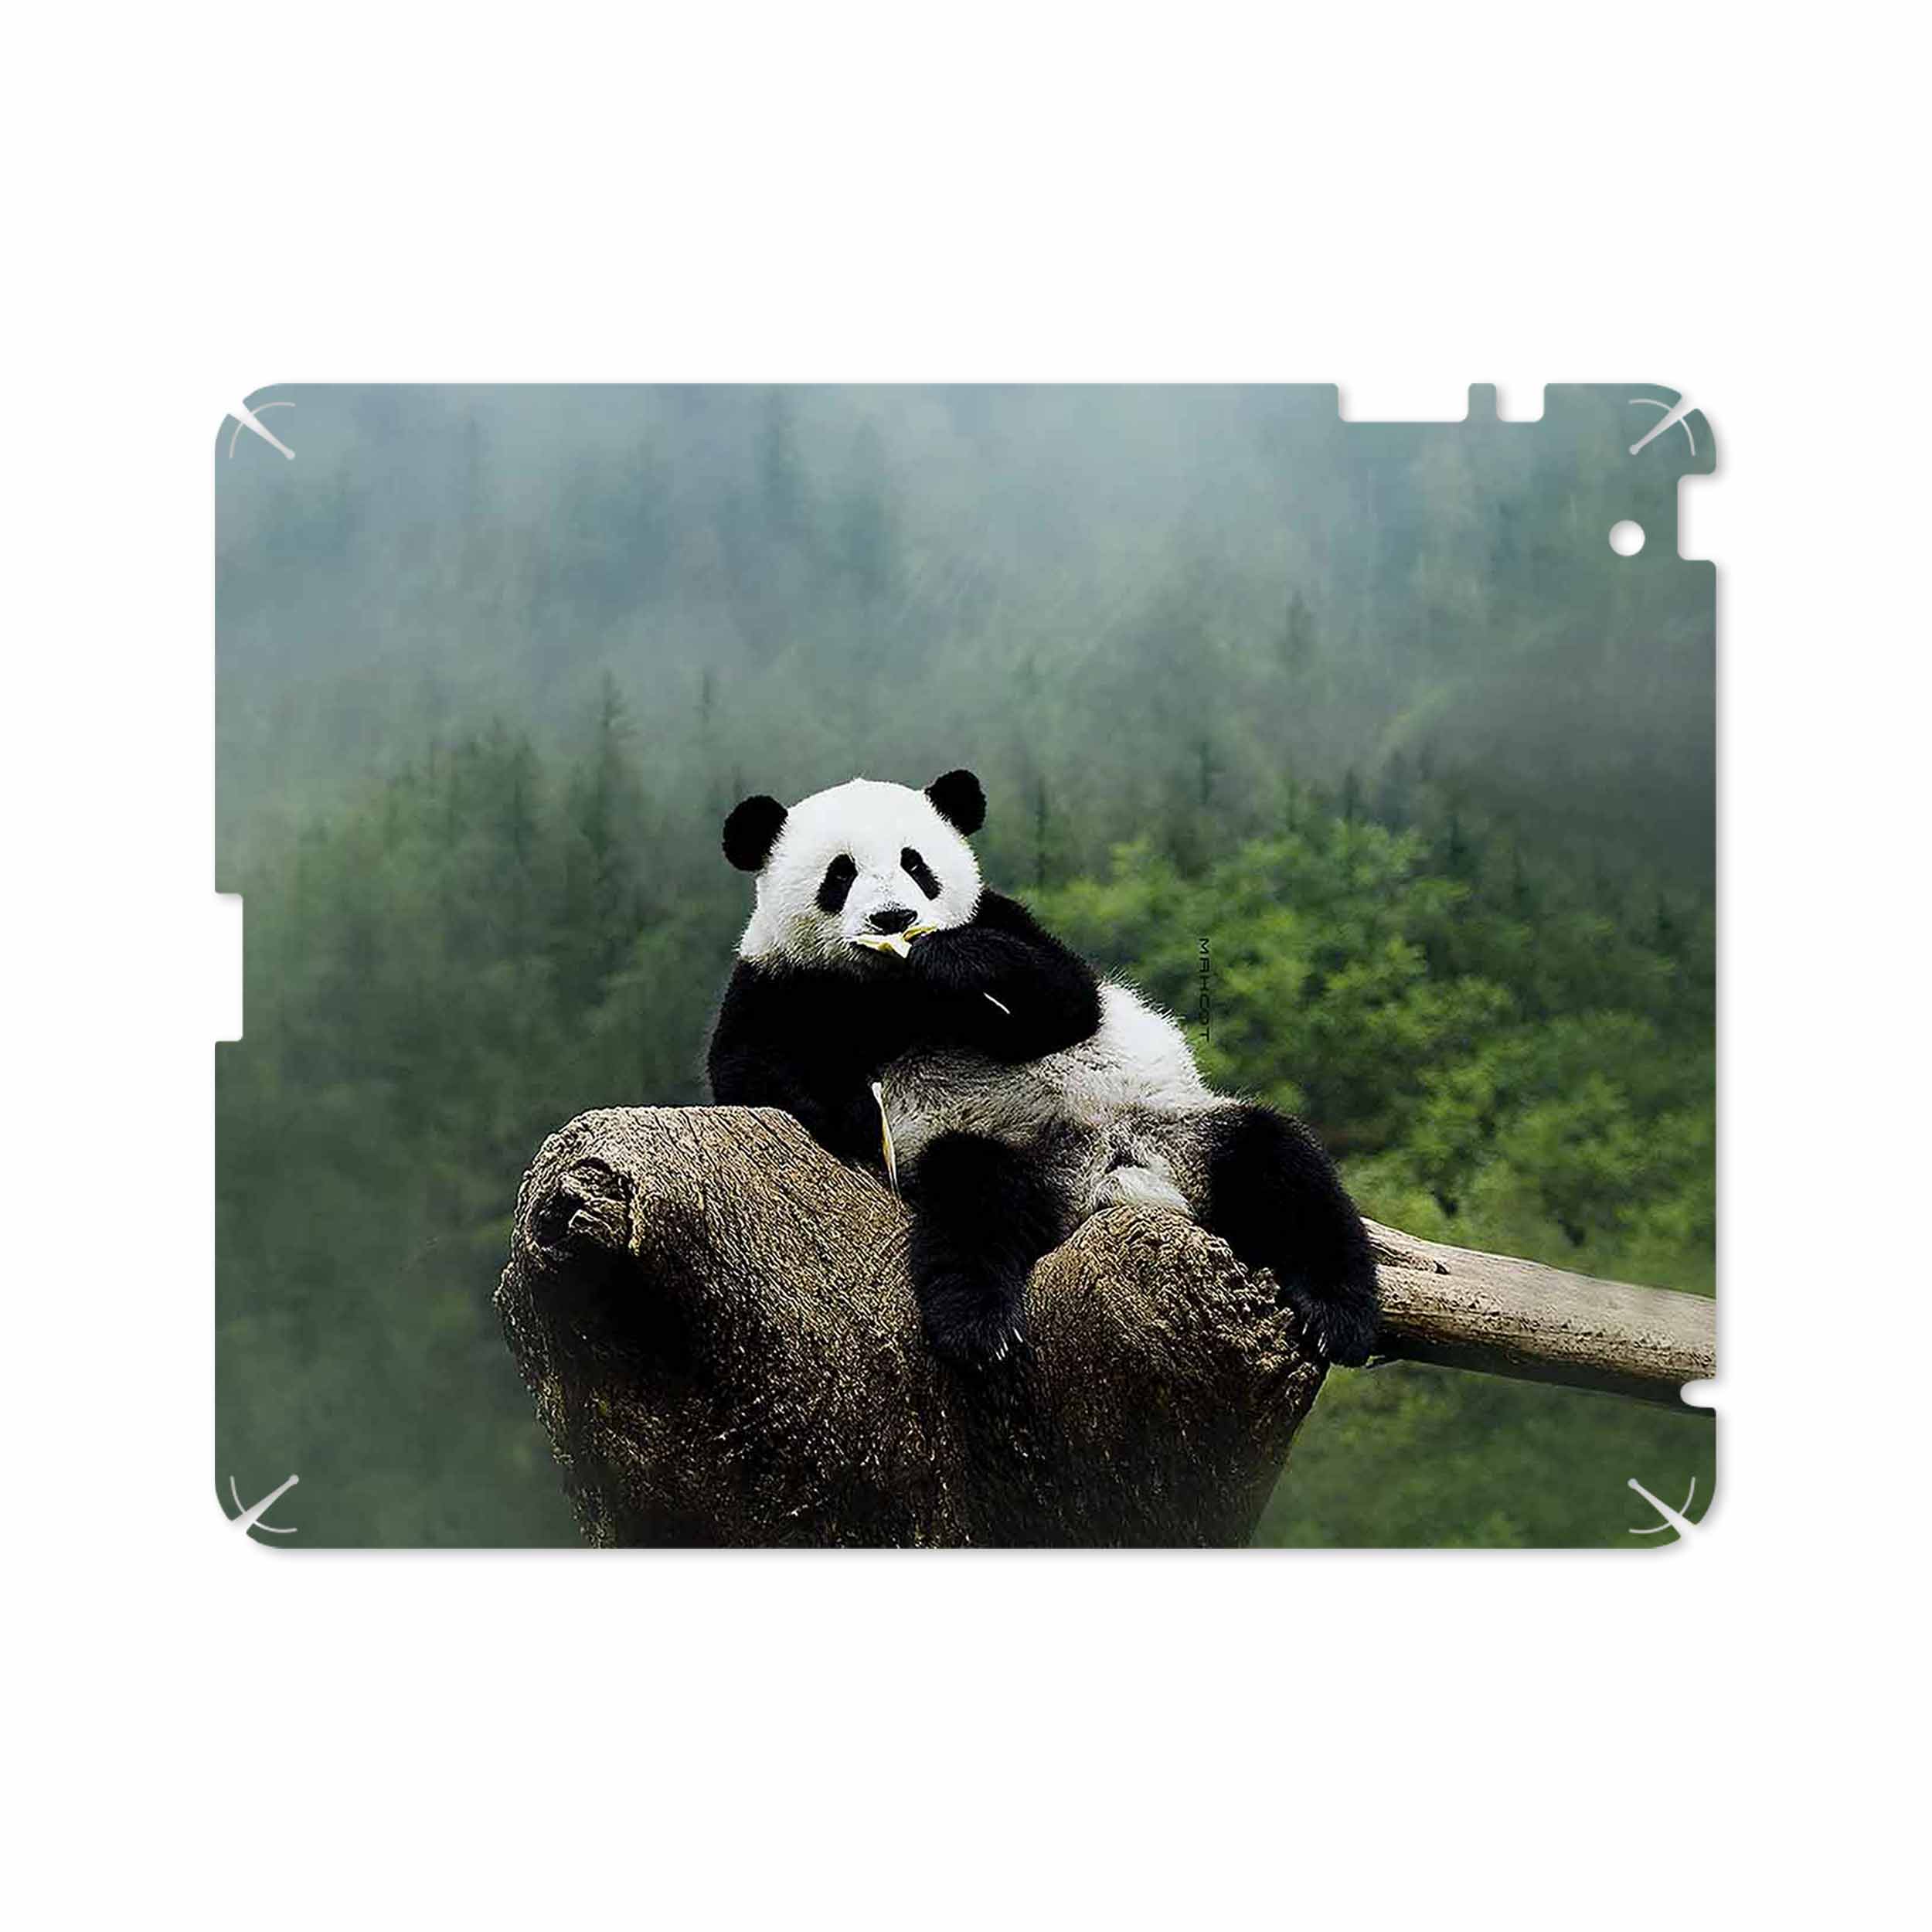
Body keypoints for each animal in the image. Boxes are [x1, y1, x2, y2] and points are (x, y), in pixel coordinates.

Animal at [707, 768, 1380, 1369]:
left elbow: (1067, 1000)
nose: (894, 919)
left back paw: (1338, 1316)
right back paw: (979, 1328)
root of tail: (1106, 1178)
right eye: (840, 873)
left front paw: (952, 961)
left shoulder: (1002, 919)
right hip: (999, 1149)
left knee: (1282, 1166)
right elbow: (749, 1072)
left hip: (1178, 1127)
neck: (890, 989)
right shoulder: (778, 982)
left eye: (916, 865)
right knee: (973, 1202)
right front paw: (853, 1112)